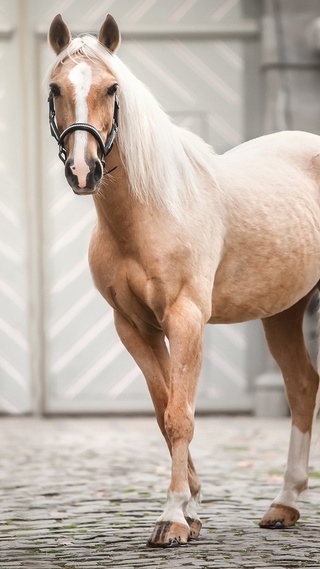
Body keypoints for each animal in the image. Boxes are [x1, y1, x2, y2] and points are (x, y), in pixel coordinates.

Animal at [47, 13, 320, 544]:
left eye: (112, 87)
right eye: (55, 88)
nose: (84, 171)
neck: (151, 210)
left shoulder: (186, 319)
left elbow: (181, 415)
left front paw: (173, 516)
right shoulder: (134, 326)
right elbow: (164, 409)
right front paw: (191, 510)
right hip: (283, 312)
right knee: (302, 386)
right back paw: (285, 503)